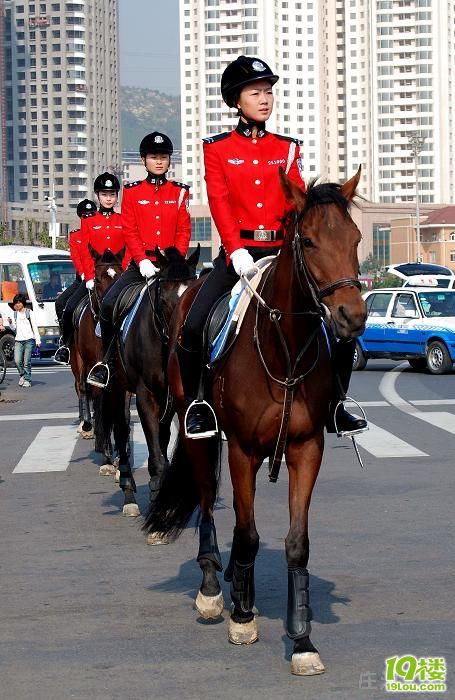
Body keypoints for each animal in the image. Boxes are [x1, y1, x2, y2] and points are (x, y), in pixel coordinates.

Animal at [144, 167, 368, 676]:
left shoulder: (307, 448)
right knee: (208, 503)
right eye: (308, 241)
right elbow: (246, 533)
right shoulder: (243, 450)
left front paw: (302, 639)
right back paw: (213, 587)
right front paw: (243, 617)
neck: (284, 345)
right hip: (199, 434)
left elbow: (296, 542)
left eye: (356, 238)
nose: (352, 317)